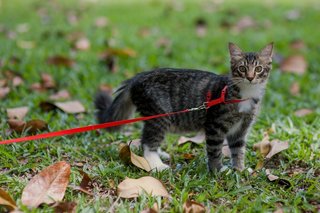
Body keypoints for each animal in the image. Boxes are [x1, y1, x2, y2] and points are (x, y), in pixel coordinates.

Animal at [94, 42, 272, 172]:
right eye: (242, 68)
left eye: (258, 69)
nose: (250, 77)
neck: (246, 93)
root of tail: (136, 78)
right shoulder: (215, 126)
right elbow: (215, 151)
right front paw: (217, 170)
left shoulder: (241, 129)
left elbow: (238, 150)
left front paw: (240, 169)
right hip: (160, 116)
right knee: (148, 143)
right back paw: (157, 164)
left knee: (146, 138)